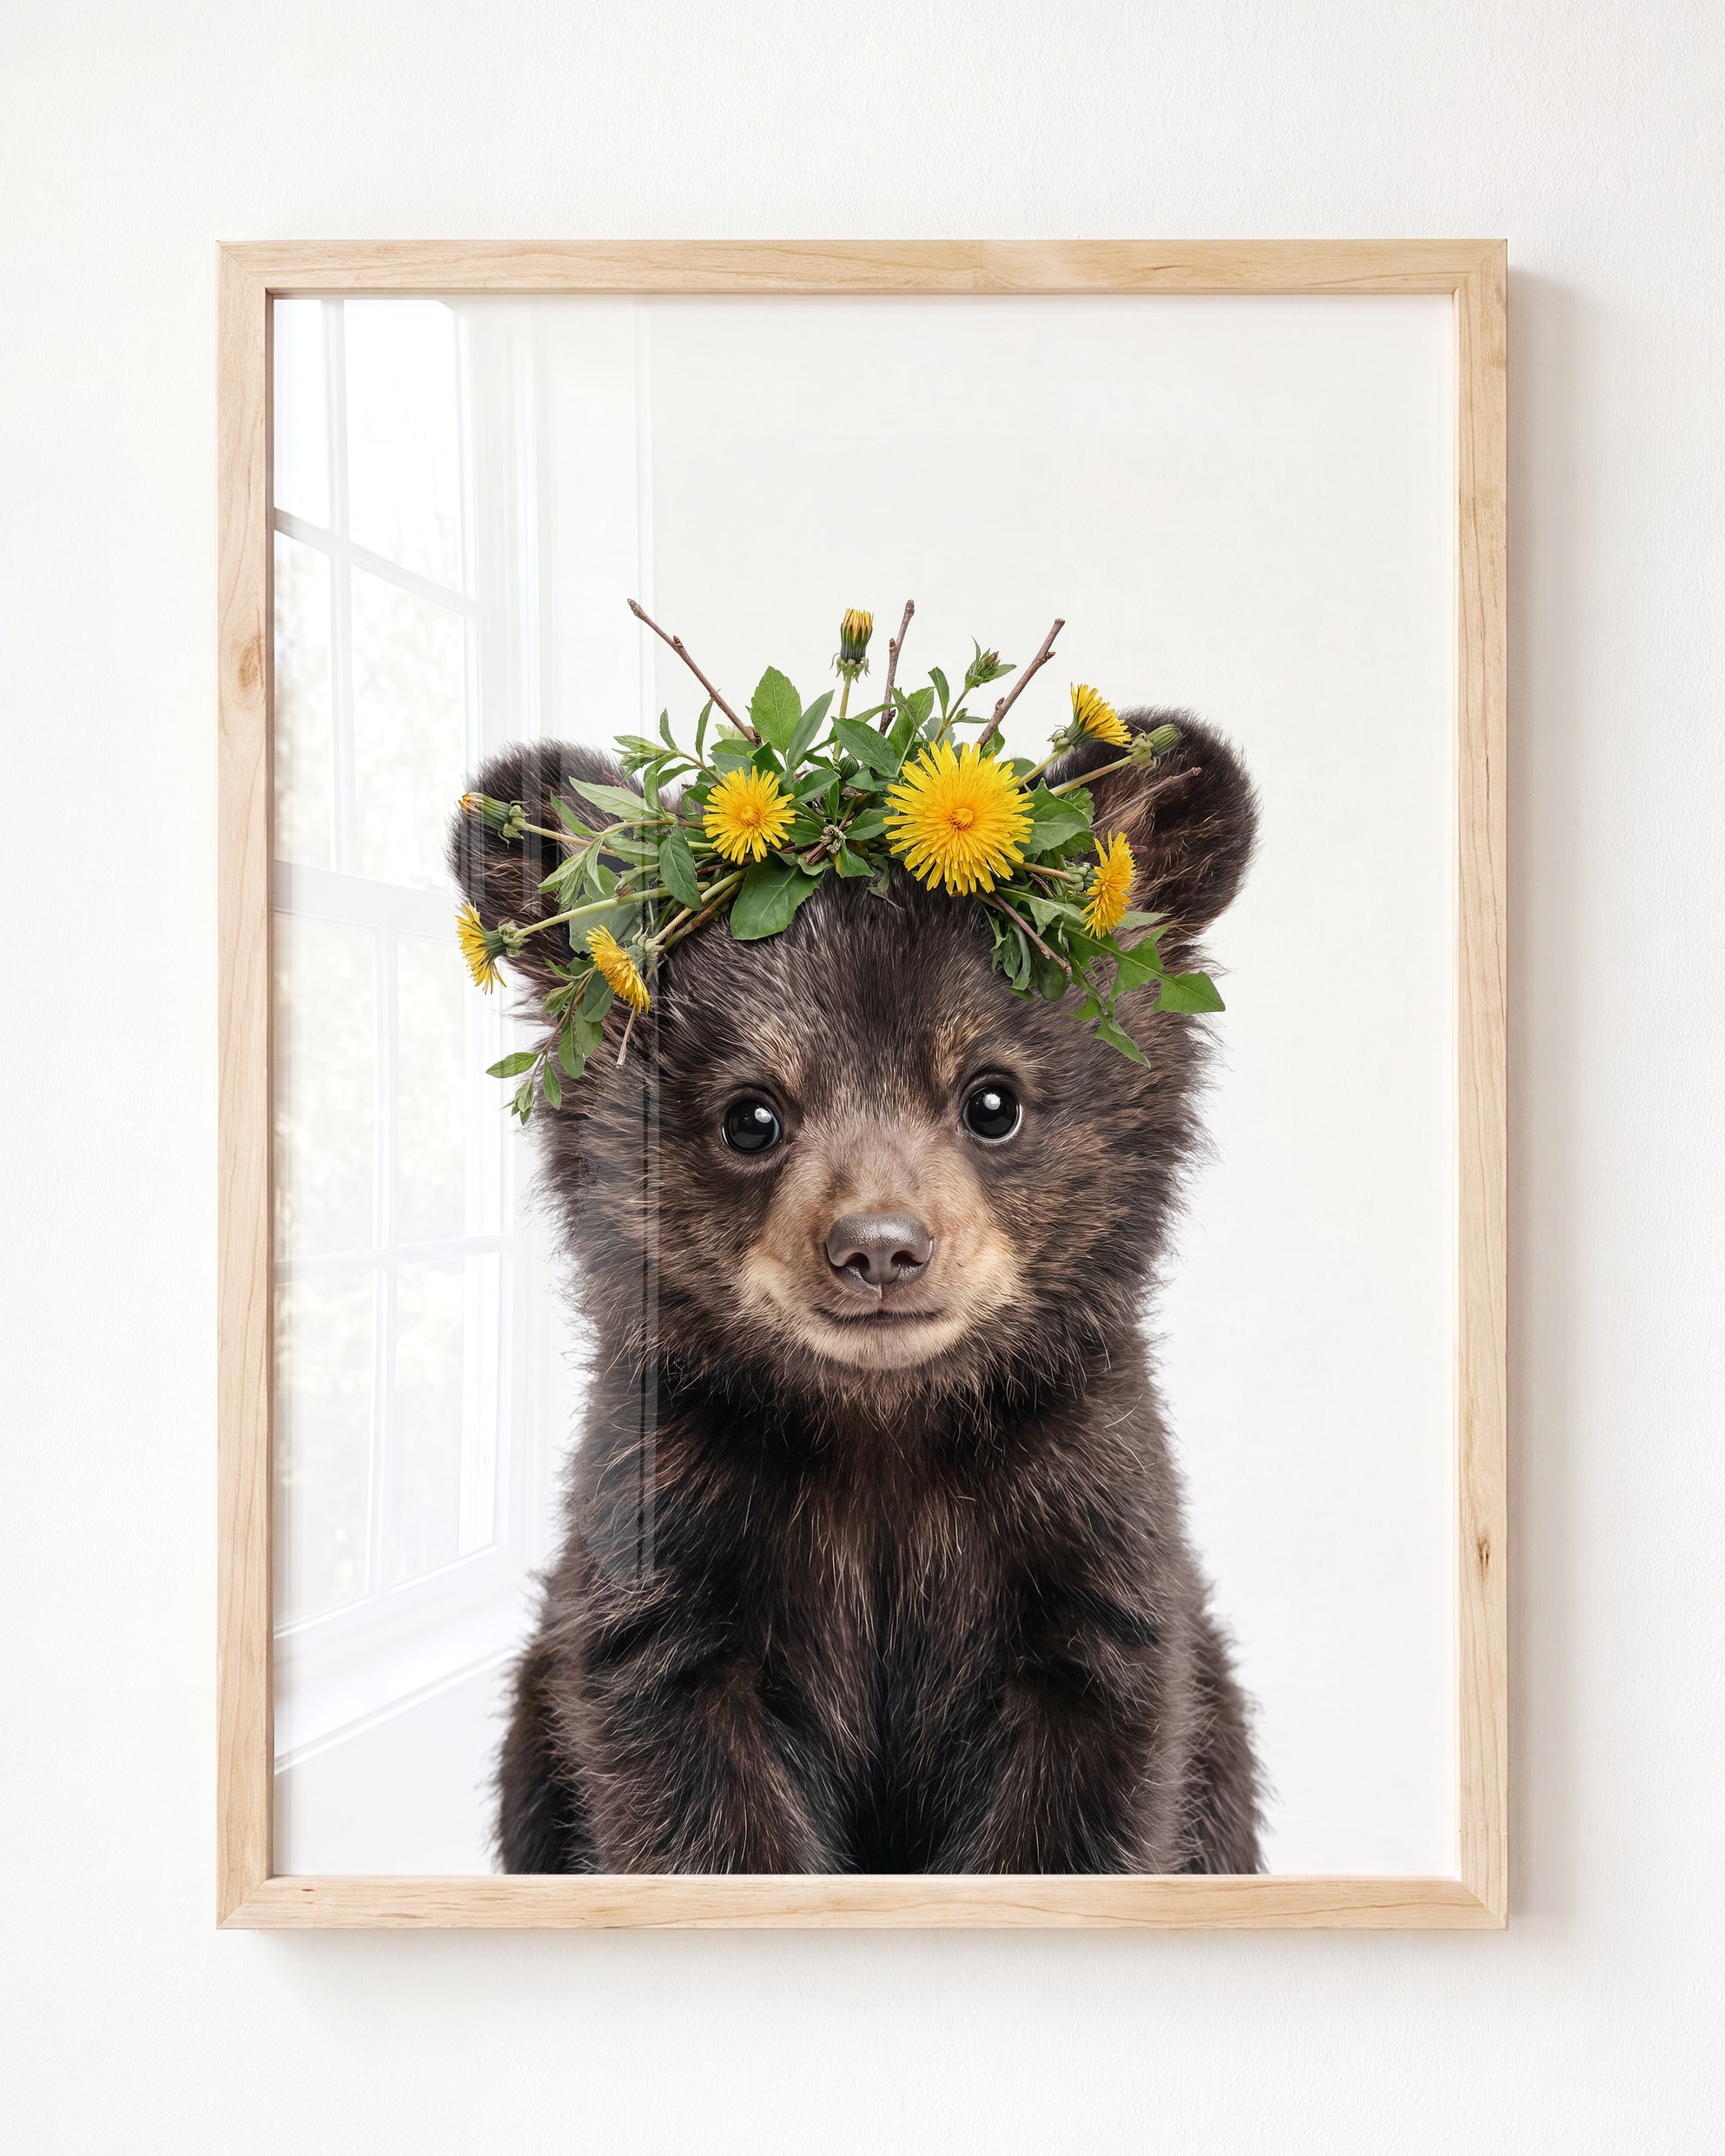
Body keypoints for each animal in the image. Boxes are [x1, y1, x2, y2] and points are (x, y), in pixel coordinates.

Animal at [451, 708, 1264, 1874]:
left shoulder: (1086, 1533)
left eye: (993, 1099)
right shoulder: (667, 1539)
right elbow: (690, 1794)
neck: (883, 1433)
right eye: (751, 1115)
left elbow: (1085, 1793)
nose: (879, 1249)